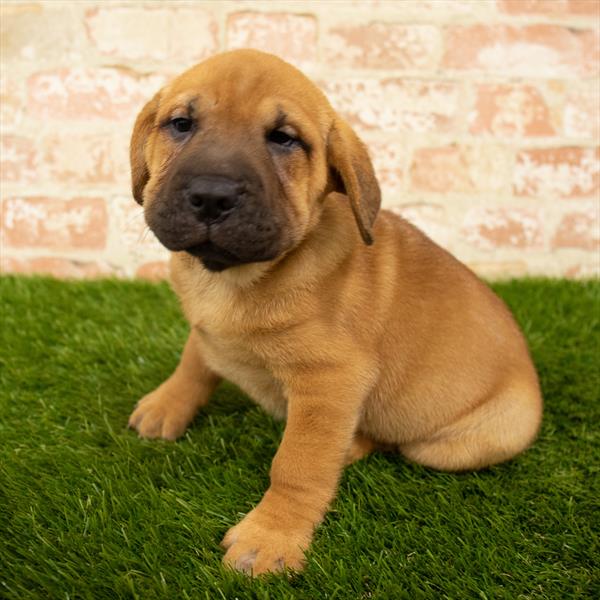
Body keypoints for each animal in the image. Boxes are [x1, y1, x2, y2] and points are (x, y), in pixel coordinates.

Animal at [127, 51, 544, 576]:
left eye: (284, 138)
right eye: (181, 124)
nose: (212, 195)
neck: (234, 279)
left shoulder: (330, 381)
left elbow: (297, 465)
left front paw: (271, 536)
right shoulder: (207, 331)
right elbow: (194, 362)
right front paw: (166, 405)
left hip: (457, 444)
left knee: (395, 443)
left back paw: (351, 447)